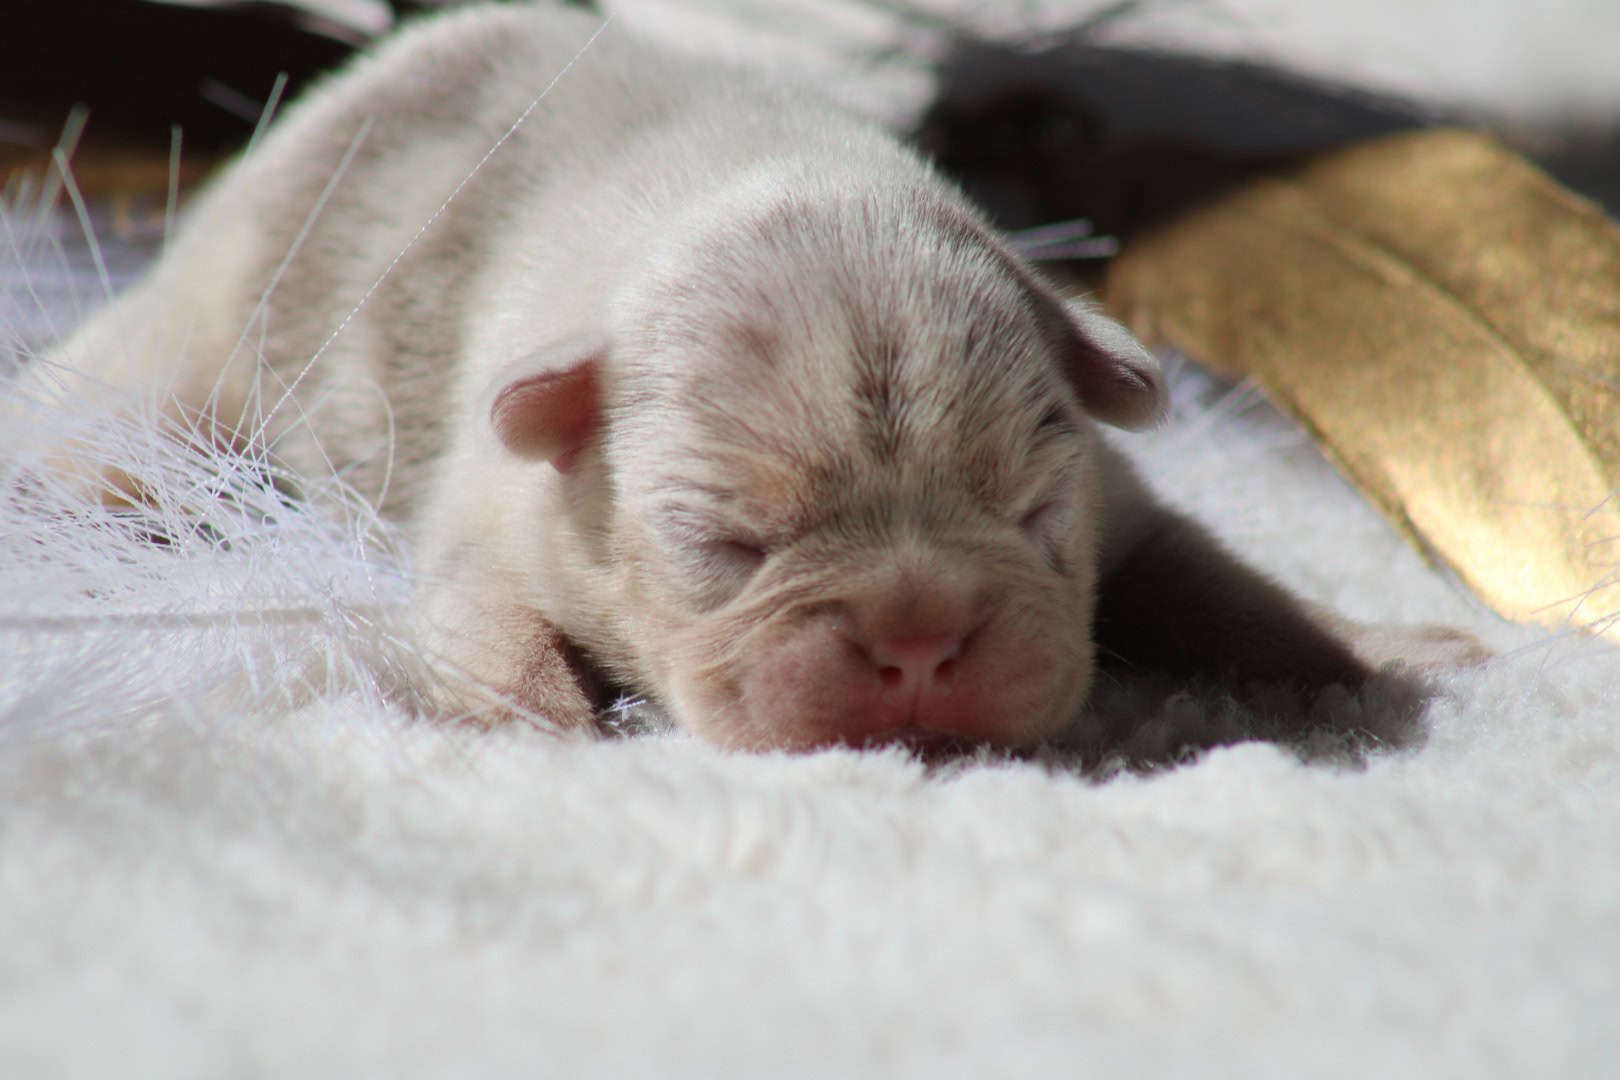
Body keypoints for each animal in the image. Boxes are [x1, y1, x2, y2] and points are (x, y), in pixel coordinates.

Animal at [9, 0, 1483, 751]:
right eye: (726, 547)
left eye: (1033, 520)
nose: (917, 640)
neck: (767, 184)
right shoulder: (498, 507)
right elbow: (480, 614)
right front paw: (543, 714)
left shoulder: (1126, 502)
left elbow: (1229, 588)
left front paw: (1378, 645)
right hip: (201, 336)